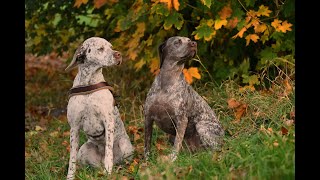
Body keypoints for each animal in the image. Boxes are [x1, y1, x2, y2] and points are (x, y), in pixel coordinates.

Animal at [65, 37, 133, 179]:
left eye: (111, 47)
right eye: (100, 48)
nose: (119, 54)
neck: (89, 84)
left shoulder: (108, 122)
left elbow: (108, 152)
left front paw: (109, 171)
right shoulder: (74, 127)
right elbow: (71, 160)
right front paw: (70, 176)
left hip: (125, 147)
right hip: (83, 149)